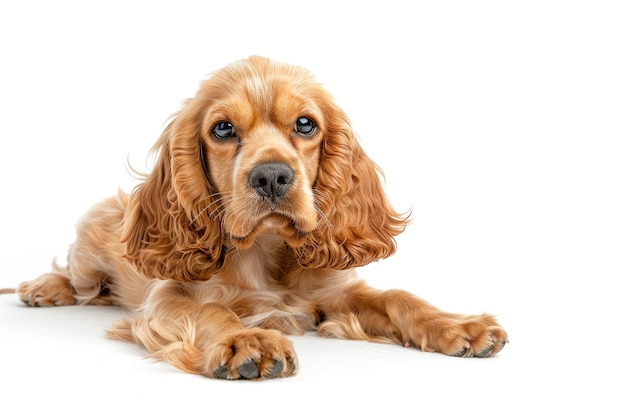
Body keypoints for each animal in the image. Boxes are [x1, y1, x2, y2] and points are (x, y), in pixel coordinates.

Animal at [13, 57, 502, 378]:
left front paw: (458, 326)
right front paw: (246, 340)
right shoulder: (165, 299)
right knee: (77, 278)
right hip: (89, 251)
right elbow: (210, 311)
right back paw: (42, 288)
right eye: (222, 129)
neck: (266, 250)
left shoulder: (333, 293)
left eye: (305, 124)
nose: (271, 176)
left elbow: (399, 297)